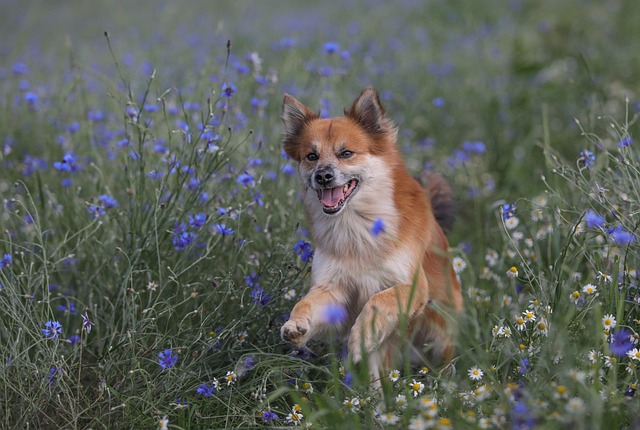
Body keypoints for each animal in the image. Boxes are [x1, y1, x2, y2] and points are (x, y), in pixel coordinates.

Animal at [278, 85, 462, 382]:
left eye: (346, 153)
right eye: (311, 156)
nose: (323, 176)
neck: (357, 226)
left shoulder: (411, 286)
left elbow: (378, 300)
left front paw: (362, 336)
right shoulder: (333, 287)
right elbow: (306, 304)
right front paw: (296, 324)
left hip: (438, 333)